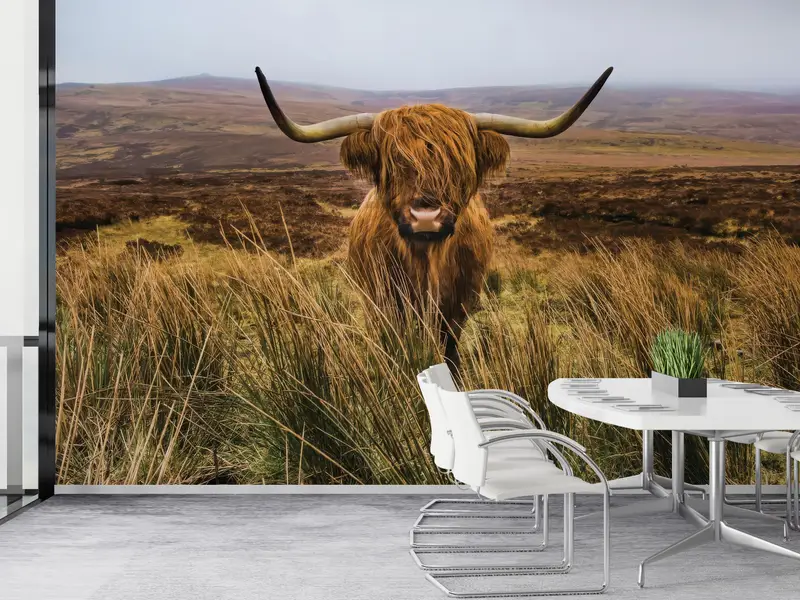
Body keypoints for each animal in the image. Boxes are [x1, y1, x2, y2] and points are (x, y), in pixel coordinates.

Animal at [254, 66, 613, 370]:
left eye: (458, 162)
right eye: (392, 162)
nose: (425, 217)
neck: (426, 262)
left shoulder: (460, 303)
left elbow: (449, 347)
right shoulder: (383, 301)